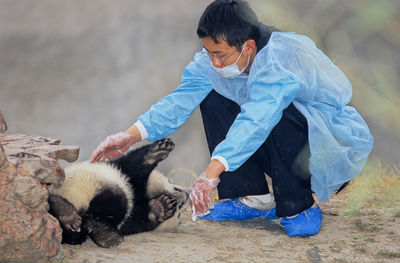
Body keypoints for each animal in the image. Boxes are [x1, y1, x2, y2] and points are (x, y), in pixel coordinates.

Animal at [48, 139, 189, 249]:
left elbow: (136, 220)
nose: (187, 194)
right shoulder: (120, 170)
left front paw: (161, 207)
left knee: (75, 233)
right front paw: (158, 151)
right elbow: (133, 165)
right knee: (117, 199)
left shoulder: (130, 221)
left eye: (179, 214)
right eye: (171, 182)